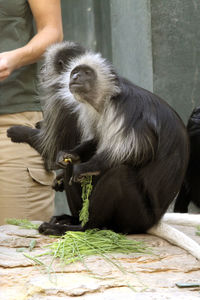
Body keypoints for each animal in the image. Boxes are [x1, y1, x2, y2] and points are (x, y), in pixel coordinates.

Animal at [7, 42, 200, 260]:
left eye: (85, 73)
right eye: (74, 72)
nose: (74, 77)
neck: (108, 97)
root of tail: (154, 220)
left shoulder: (126, 110)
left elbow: (133, 152)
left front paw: (82, 168)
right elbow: (92, 142)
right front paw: (68, 157)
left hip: (137, 214)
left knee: (118, 174)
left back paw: (82, 228)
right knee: (75, 170)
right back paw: (72, 218)